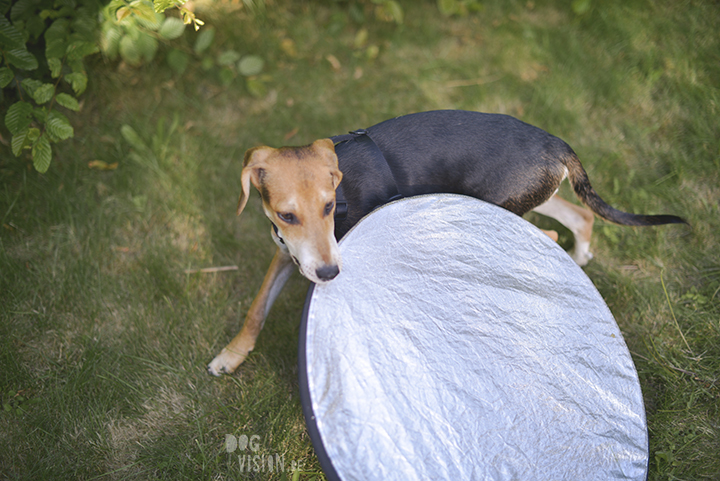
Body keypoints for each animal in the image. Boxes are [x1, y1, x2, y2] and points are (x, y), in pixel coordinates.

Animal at [207, 109, 680, 376]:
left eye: (327, 206)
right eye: (287, 215)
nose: (329, 273)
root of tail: (556, 144)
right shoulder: (287, 254)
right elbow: (256, 311)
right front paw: (231, 357)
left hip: (500, 208)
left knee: (548, 237)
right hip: (538, 195)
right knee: (581, 216)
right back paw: (580, 257)